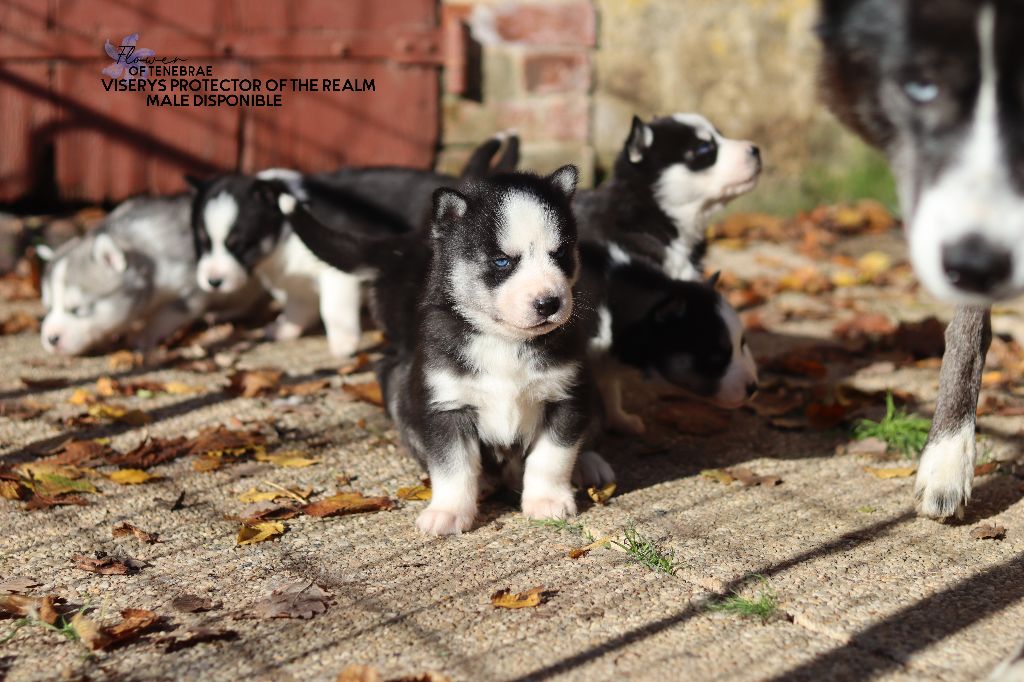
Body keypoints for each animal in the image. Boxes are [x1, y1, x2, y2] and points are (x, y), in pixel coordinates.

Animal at [280, 164, 598, 532]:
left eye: (560, 254)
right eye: (502, 262)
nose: (550, 303)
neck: (503, 341)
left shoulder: (566, 395)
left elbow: (551, 457)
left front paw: (547, 500)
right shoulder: (444, 403)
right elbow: (453, 466)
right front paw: (448, 511)